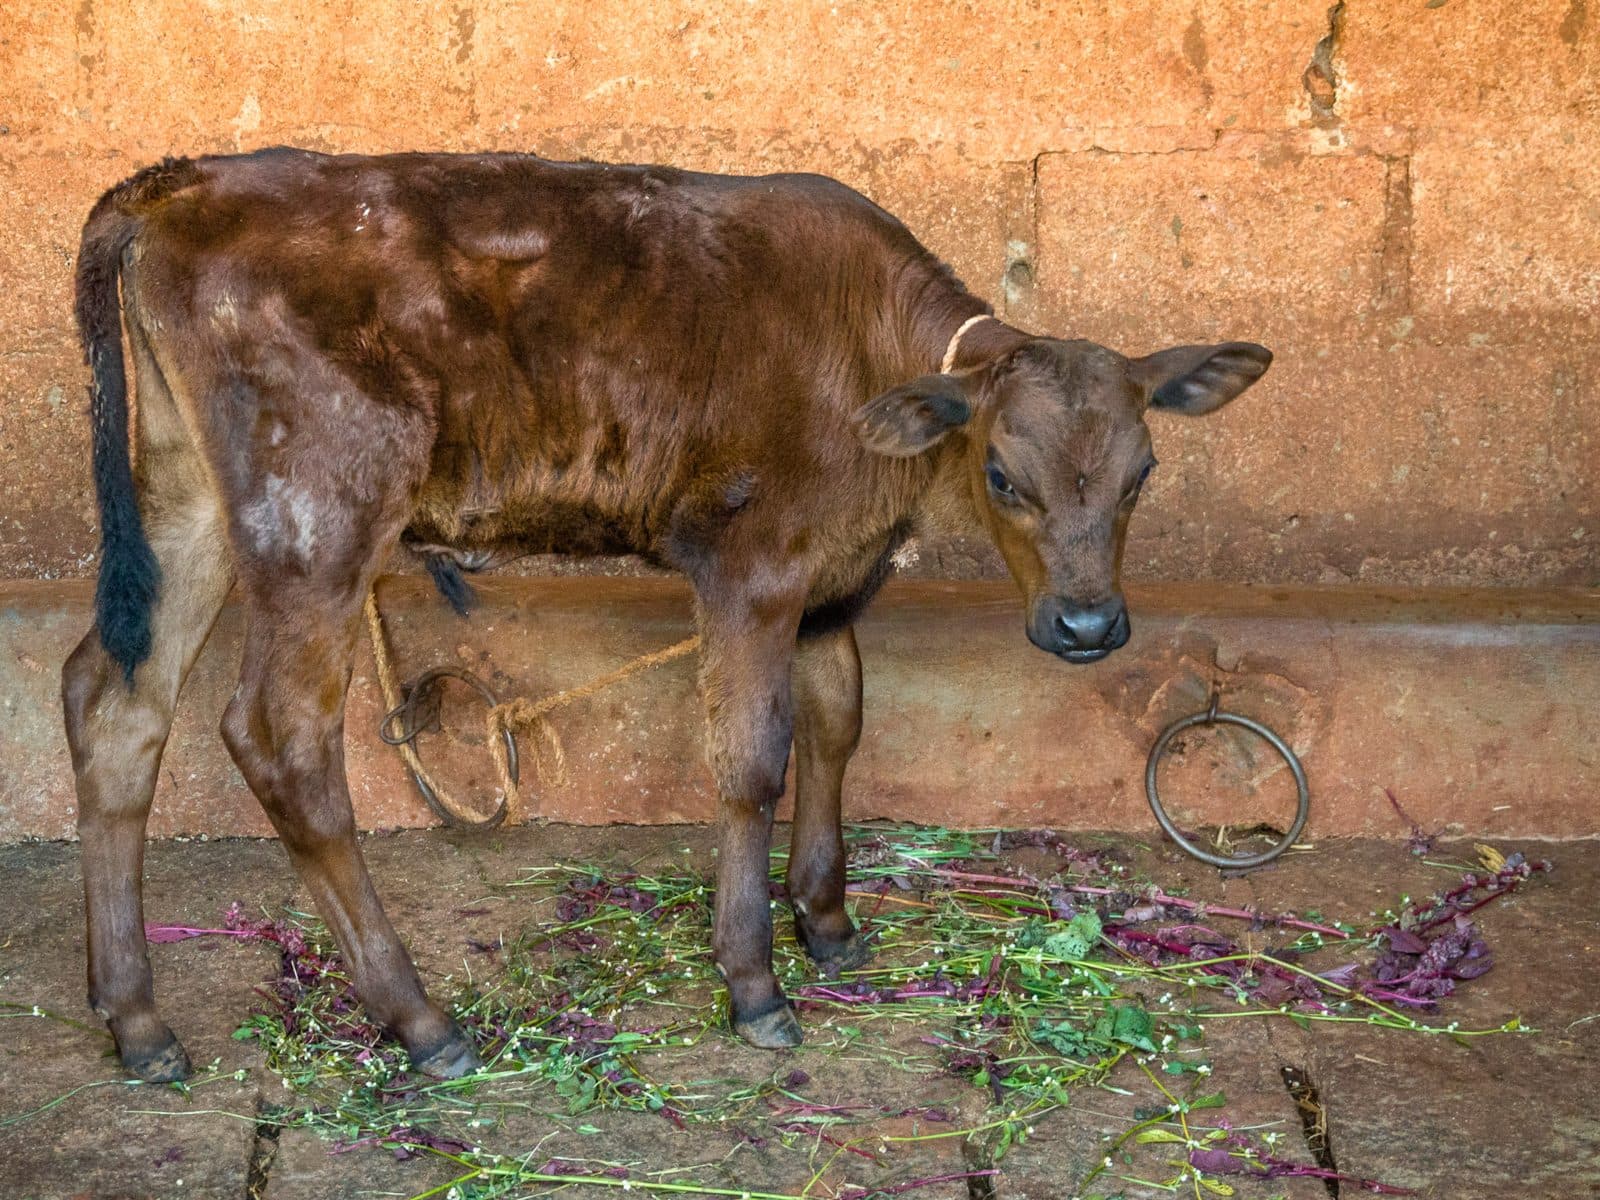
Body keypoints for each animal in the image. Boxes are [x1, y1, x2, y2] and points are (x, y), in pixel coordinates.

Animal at [62, 148, 1271, 1083]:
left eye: (1143, 473)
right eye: (1006, 474)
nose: (1087, 629)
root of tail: (181, 183)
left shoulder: (828, 581)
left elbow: (839, 723)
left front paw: (827, 924)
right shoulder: (750, 566)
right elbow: (752, 760)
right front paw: (754, 983)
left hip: (190, 495)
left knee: (115, 699)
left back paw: (138, 1020)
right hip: (317, 509)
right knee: (280, 737)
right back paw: (420, 1021)